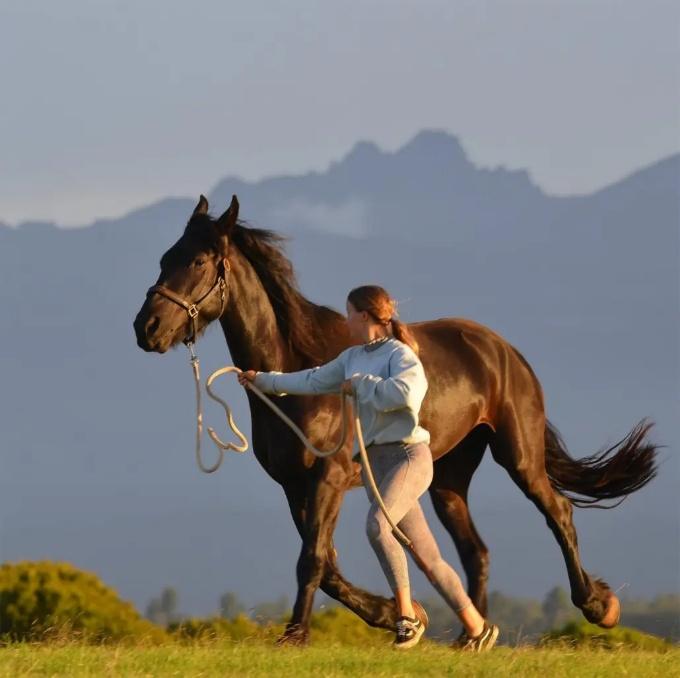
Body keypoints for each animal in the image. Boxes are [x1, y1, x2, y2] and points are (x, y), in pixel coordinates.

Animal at [133, 194, 659, 645]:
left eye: (198, 262)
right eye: (165, 257)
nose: (146, 328)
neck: (295, 370)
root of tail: (504, 351)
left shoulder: (327, 478)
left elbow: (313, 560)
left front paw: (296, 635)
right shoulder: (293, 485)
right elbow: (328, 567)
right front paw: (396, 615)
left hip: (519, 456)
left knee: (559, 513)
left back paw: (598, 606)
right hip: (448, 478)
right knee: (475, 550)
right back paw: (471, 637)